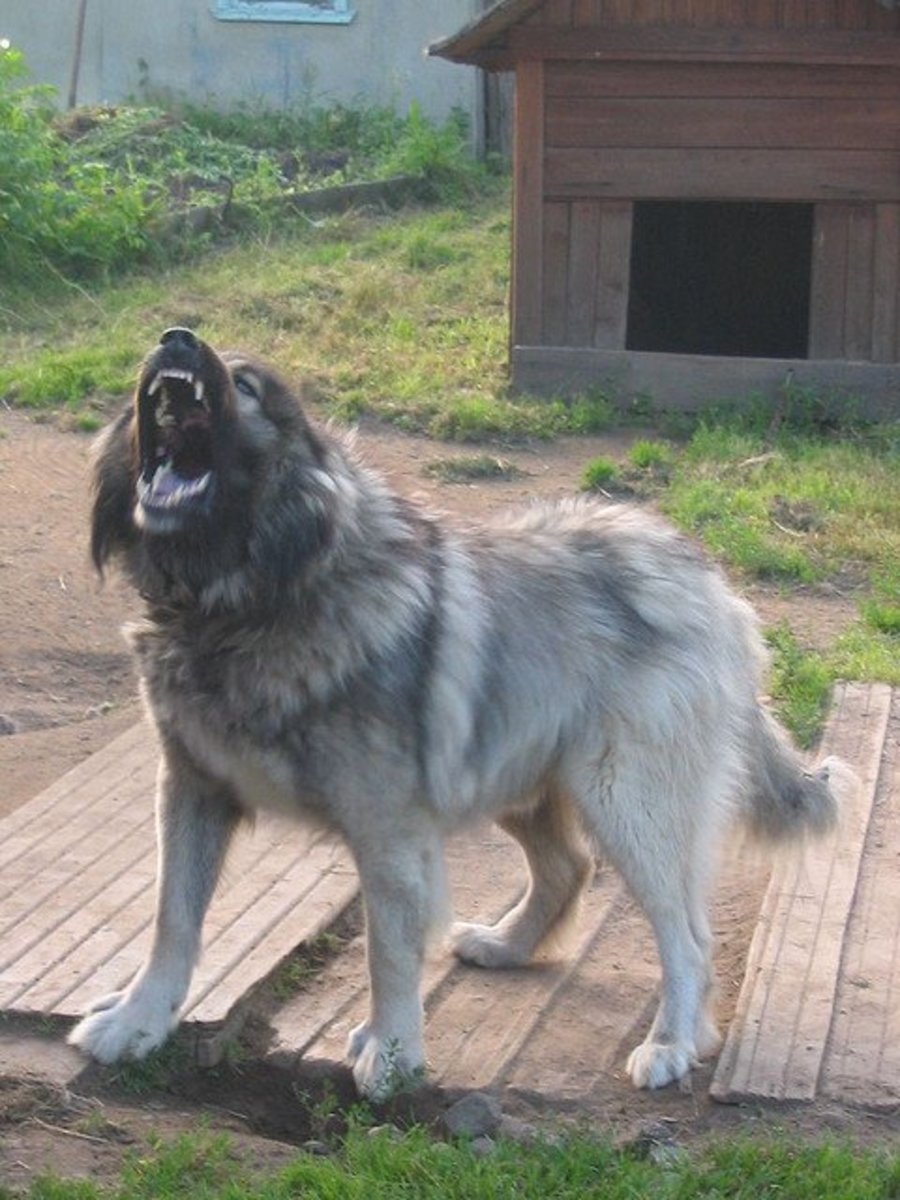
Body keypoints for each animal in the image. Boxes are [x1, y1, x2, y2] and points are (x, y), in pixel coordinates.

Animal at [66, 328, 844, 1099]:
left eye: (248, 384)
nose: (177, 340)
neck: (246, 601)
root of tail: (708, 579)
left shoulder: (387, 831)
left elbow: (387, 953)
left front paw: (392, 1054)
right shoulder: (191, 790)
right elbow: (172, 921)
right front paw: (138, 1020)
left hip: (626, 800)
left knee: (685, 937)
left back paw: (671, 1043)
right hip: (519, 773)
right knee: (567, 868)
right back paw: (506, 946)